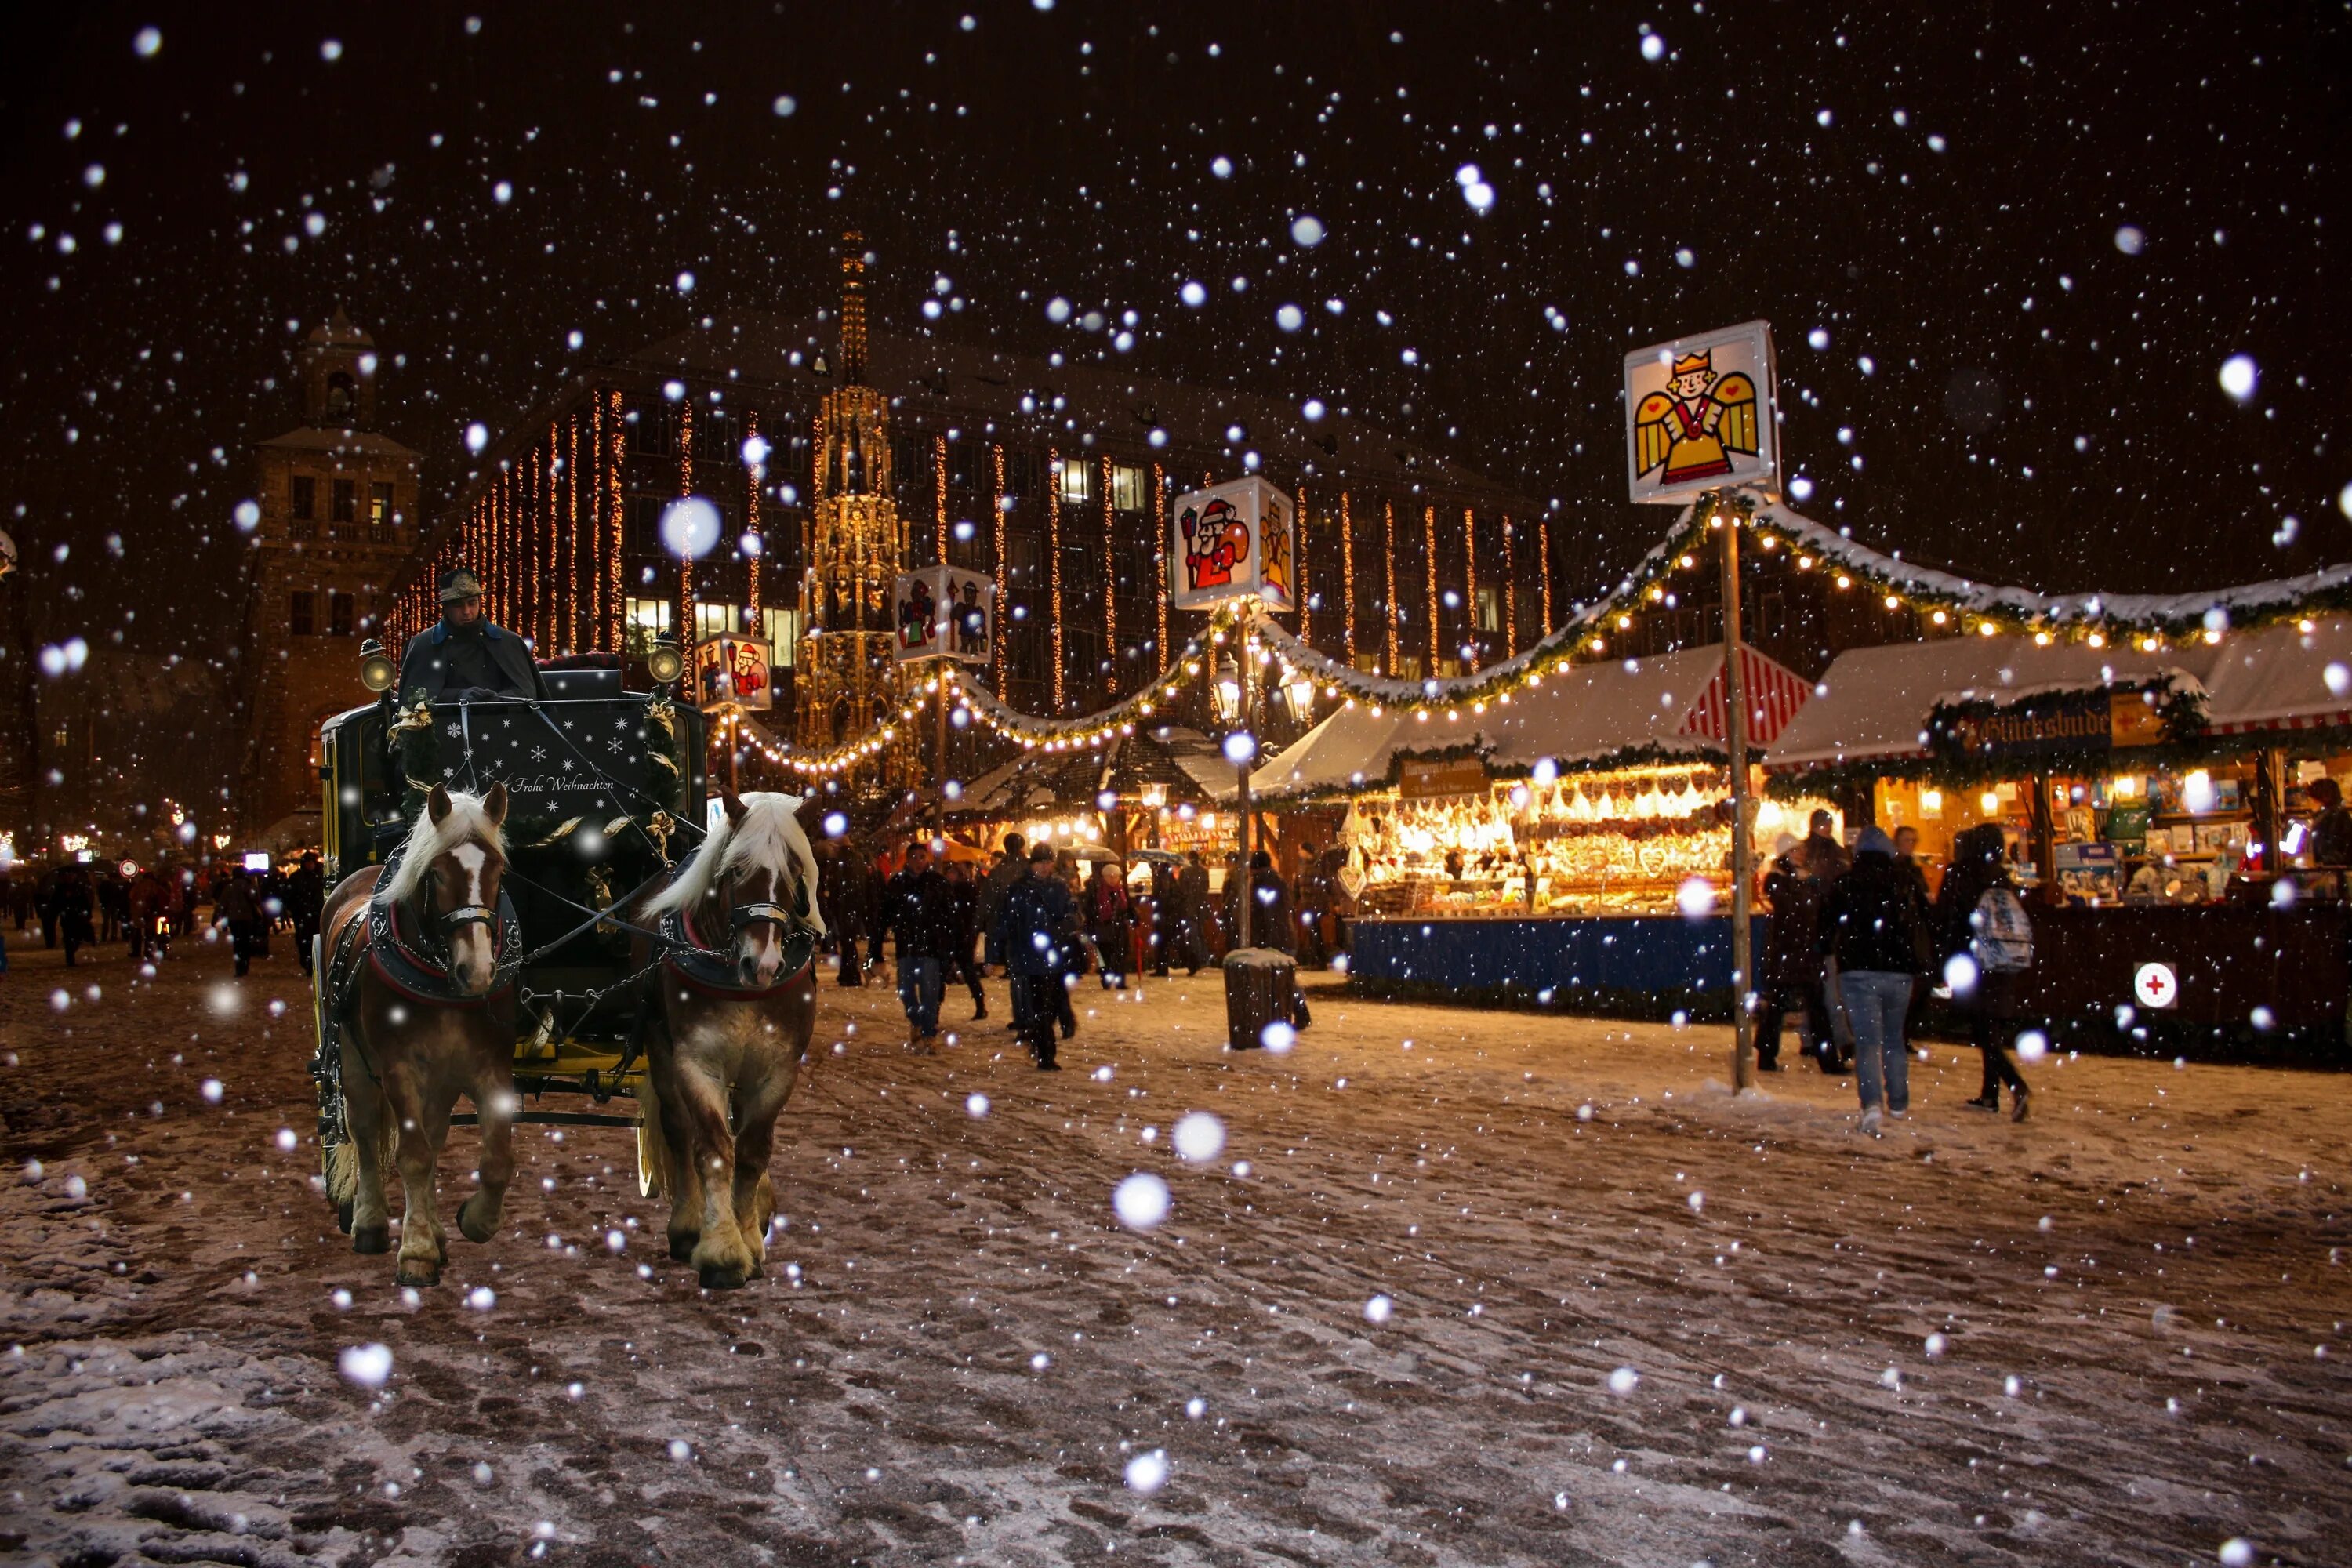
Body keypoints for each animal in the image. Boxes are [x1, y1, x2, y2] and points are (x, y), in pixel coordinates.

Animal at [318, 785, 520, 1288]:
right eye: (438, 874)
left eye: (497, 869)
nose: (478, 971)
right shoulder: (399, 1069)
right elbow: (411, 1156)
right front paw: (416, 1251)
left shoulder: (490, 1067)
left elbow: (496, 1160)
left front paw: (472, 1222)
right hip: (352, 1060)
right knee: (365, 1133)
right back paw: (371, 1223)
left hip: (441, 1079)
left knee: (433, 1136)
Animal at [635, 789, 828, 1298]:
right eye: (738, 869)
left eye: (795, 872)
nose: (763, 965)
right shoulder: (697, 1064)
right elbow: (714, 1151)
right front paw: (721, 1250)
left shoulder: (779, 1069)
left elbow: (753, 1151)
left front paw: (748, 1240)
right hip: (661, 1051)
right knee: (679, 1129)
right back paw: (686, 1226)